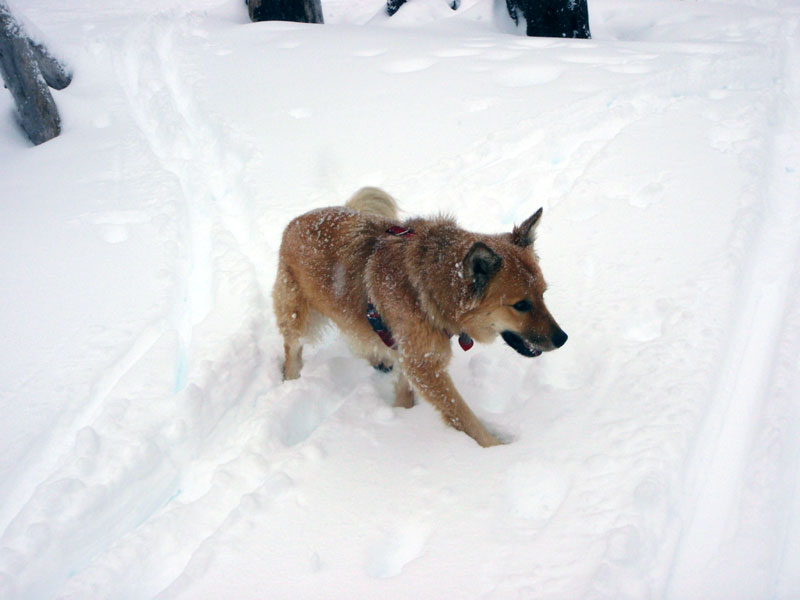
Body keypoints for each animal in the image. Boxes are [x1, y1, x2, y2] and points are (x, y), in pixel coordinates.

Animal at [272, 188, 564, 446]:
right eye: (521, 305)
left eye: (543, 294)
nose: (563, 338)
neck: (430, 286)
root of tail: (296, 222)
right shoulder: (425, 365)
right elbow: (463, 416)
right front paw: (497, 450)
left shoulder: (412, 354)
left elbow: (405, 389)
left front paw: (403, 414)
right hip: (297, 314)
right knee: (292, 348)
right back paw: (290, 380)